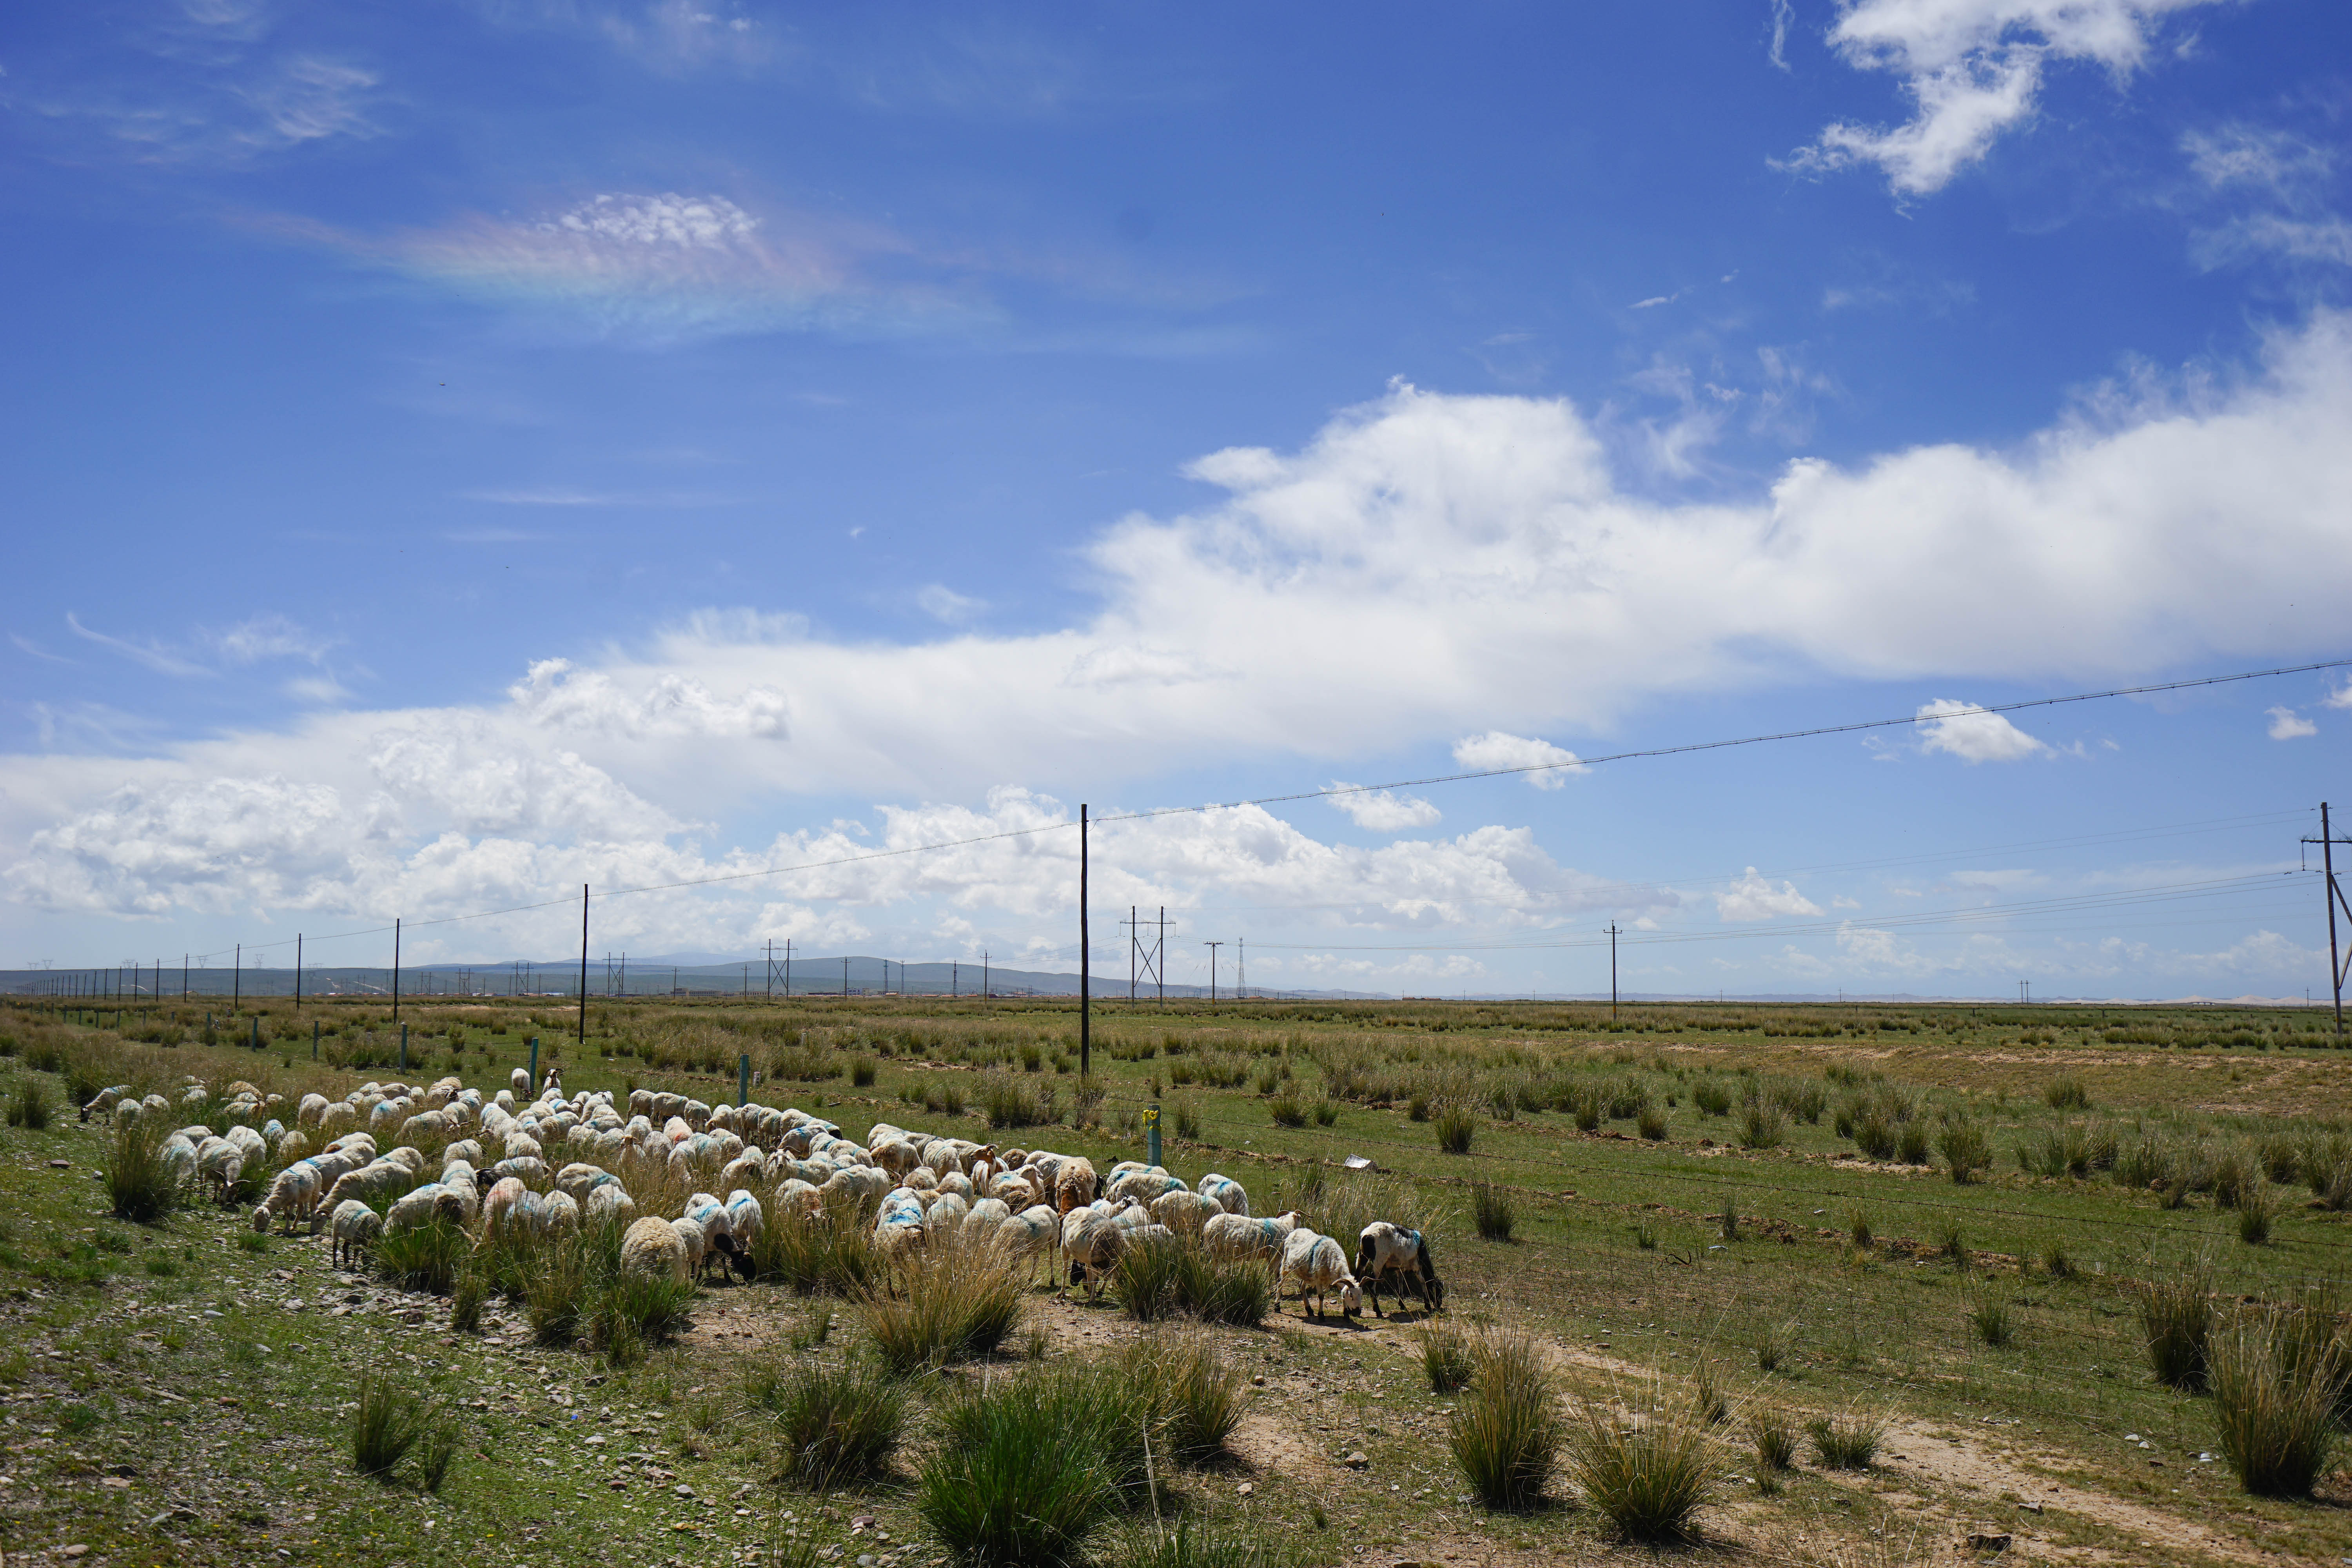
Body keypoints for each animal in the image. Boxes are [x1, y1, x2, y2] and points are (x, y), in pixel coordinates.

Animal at [332, 1203, 386, 1279]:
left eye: (373, 1259)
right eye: (365, 1258)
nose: (365, 1271)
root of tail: (343, 1203)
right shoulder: (357, 1241)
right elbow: (356, 1255)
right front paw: (354, 1268)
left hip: (350, 1236)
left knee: (345, 1247)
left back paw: (347, 1263)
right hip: (336, 1231)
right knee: (335, 1247)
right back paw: (335, 1265)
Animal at [1289, 1232, 1364, 1316]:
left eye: (1362, 1295)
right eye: (1351, 1295)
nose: (1358, 1313)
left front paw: (1346, 1315)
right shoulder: (1318, 1280)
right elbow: (1321, 1297)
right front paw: (1321, 1315)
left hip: (1307, 1274)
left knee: (1301, 1285)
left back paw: (1309, 1310)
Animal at [1355, 1222, 1439, 1316]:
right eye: (1439, 1290)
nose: (1439, 1306)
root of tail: (1367, 1234)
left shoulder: (1399, 1268)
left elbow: (1401, 1283)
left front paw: (1402, 1305)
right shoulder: (1416, 1264)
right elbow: (1423, 1282)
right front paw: (1428, 1305)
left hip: (1362, 1257)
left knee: (1356, 1278)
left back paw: (1356, 1311)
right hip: (1379, 1260)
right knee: (1371, 1285)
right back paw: (1378, 1311)